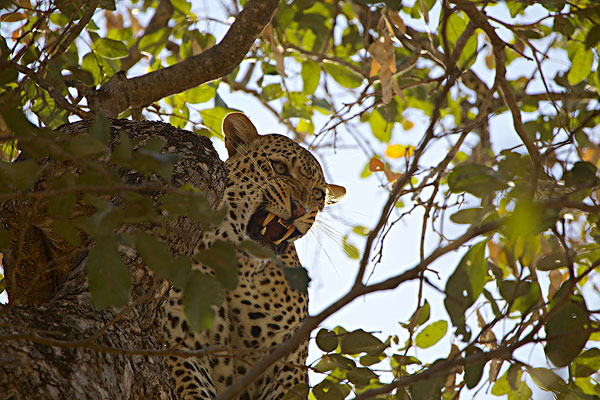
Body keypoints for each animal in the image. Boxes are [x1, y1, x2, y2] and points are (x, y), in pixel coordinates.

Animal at [161, 112, 346, 400]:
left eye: (318, 194)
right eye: (279, 167)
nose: (301, 208)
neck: (239, 265)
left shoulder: (286, 361)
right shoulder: (181, 340)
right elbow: (194, 388)